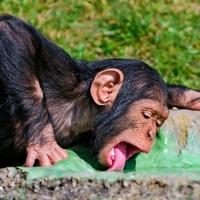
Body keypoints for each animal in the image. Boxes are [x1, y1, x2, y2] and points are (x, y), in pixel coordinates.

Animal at [0, 14, 199, 170]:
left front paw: (192, 98)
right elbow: (13, 32)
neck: (84, 110)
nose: (151, 133)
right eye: (147, 115)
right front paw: (43, 143)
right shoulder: (62, 77)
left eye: (158, 123)